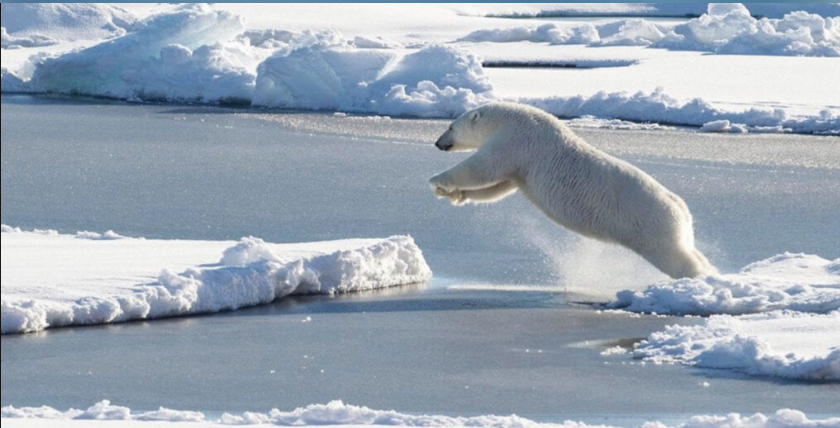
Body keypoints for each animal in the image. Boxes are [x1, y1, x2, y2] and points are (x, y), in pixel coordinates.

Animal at [428, 102, 715, 279]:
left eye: (450, 127)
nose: (438, 143)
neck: (509, 119)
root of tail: (680, 208)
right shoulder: (520, 163)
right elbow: (499, 186)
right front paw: (453, 194)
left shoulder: (516, 140)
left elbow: (483, 168)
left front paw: (436, 179)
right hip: (673, 226)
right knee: (689, 249)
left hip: (650, 224)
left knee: (675, 258)